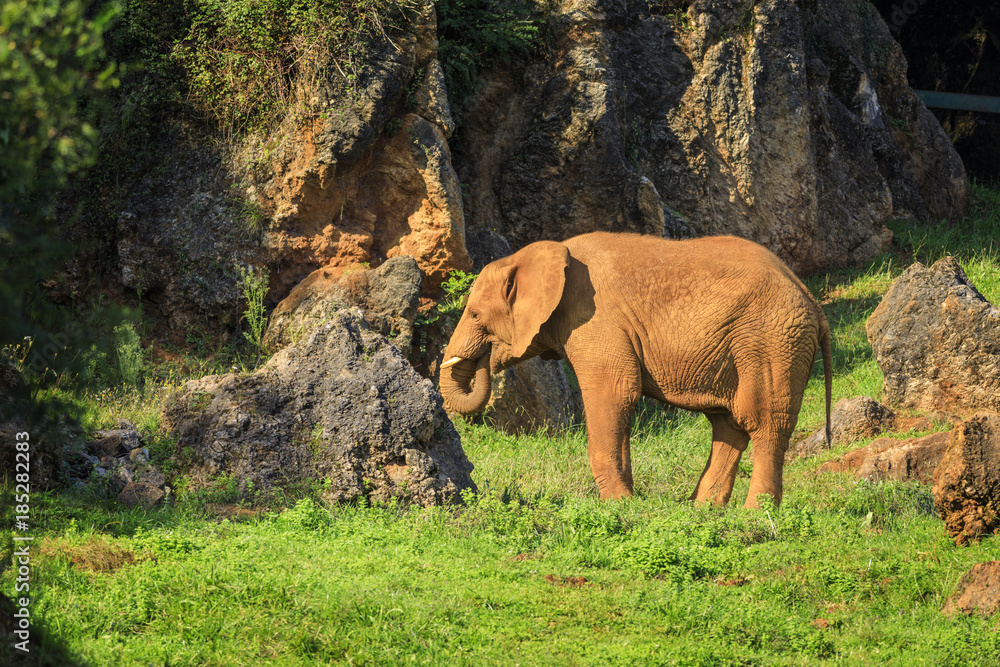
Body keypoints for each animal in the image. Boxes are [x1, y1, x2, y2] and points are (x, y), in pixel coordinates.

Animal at [438, 232, 832, 508]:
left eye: (475, 314)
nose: (486, 359)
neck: (539, 254)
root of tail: (812, 300)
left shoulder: (594, 319)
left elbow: (612, 393)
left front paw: (617, 504)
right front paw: (630, 501)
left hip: (771, 341)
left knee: (762, 421)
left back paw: (755, 514)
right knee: (728, 423)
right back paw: (701, 510)